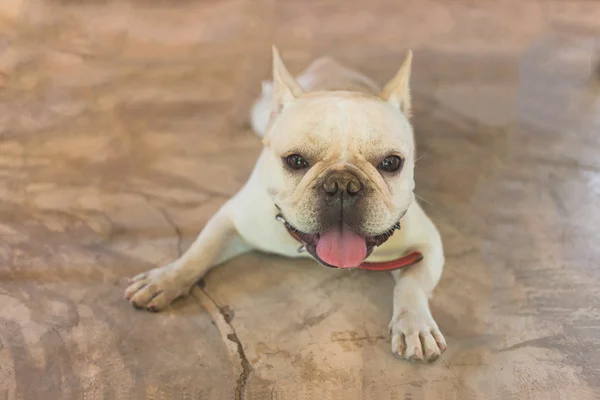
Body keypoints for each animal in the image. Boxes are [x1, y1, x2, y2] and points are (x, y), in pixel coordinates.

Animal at [125, 47, 446, 362]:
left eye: (391, 163)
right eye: (295, 161)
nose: (342, 184)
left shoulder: (427, 244)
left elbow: (411, 284)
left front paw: (414, 323)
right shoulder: (233, 218)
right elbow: (198, 253)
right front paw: (165, 279)